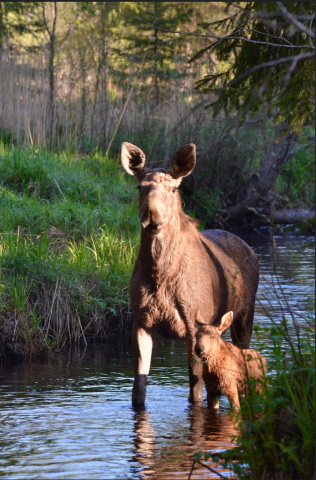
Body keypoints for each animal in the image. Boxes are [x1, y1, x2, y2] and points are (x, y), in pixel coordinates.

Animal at [121, 142, 260, 404]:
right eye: (139, 186)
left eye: (174, 188)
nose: (151, 217)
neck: (159, 274)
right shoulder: (140, 322)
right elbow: (138, 388)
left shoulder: (192, 326)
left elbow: (195, 390)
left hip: (245, 316)